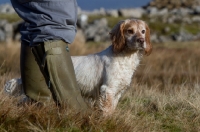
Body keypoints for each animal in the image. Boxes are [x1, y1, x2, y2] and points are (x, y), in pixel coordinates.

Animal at [4, 18, 152, 115]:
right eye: (130, 31)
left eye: (143, 31)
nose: (141, 41)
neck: (124, 56)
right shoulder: (108, 89)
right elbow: (107, 111)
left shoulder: (118, 92)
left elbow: (112, 108)